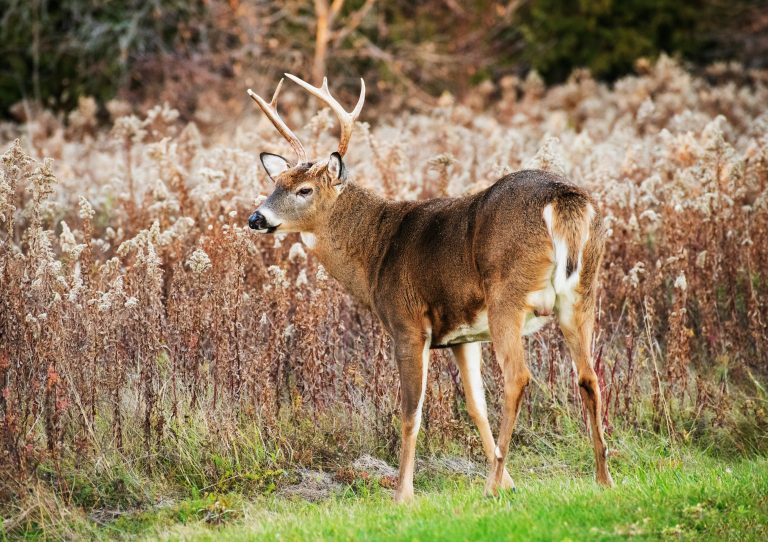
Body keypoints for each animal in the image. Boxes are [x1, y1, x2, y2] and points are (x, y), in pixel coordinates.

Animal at [246, 74, 614, 502]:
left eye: (304, 190)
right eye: (276, 182)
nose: (256, 218)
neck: (375, 253)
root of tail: (564, 199)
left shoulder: (407, 323)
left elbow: (410, 412)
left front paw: (403, 493)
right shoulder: (462, 336)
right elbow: (475, 406)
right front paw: (510, 481)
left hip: (508, 294)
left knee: (518, 377)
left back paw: (490, 487)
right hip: (583, 292)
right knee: (589, 376)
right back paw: (603, 479)